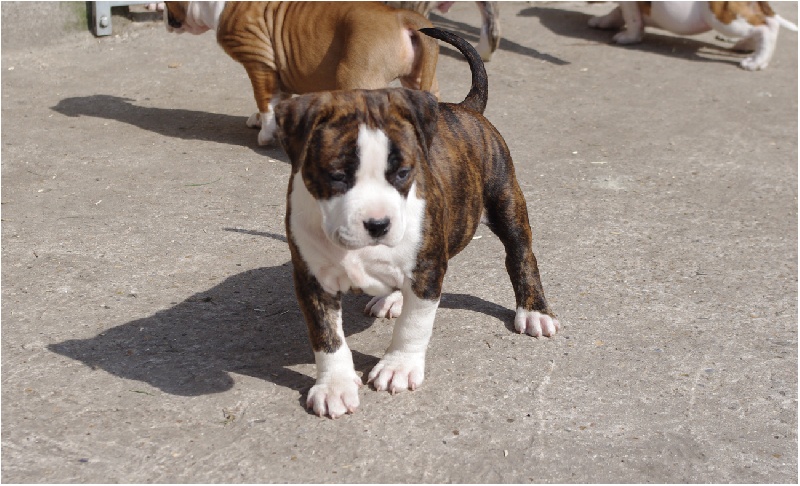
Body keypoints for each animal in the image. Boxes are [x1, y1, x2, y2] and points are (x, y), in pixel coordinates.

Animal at [164, 1, 439, 145]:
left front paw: (266, 133)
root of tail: (402, 16)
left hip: (358, 76)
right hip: (417, 77)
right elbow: (276, 99)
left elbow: (264, 100)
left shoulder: (258, 62)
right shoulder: (276, 69)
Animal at [274, 28, 558, 418]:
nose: (378, 224)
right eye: (336, 176)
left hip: (506, 201)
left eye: (403, 173)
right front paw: (334, 385)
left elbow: (414, 324)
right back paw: (391, 298)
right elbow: (327, 337)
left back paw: (534, 311)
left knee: (521, 255)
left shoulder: (426, 270)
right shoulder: (312, 279)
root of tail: (465, 108)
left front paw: (398, 366)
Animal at [589, 1, 797, 70]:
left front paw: (628, 38)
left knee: (767, 27)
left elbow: (630, 16)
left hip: (722, 17)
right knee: (764, 22)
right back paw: (744, 47)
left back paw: (756, 62)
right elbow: (618, 12)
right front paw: (602, 21)